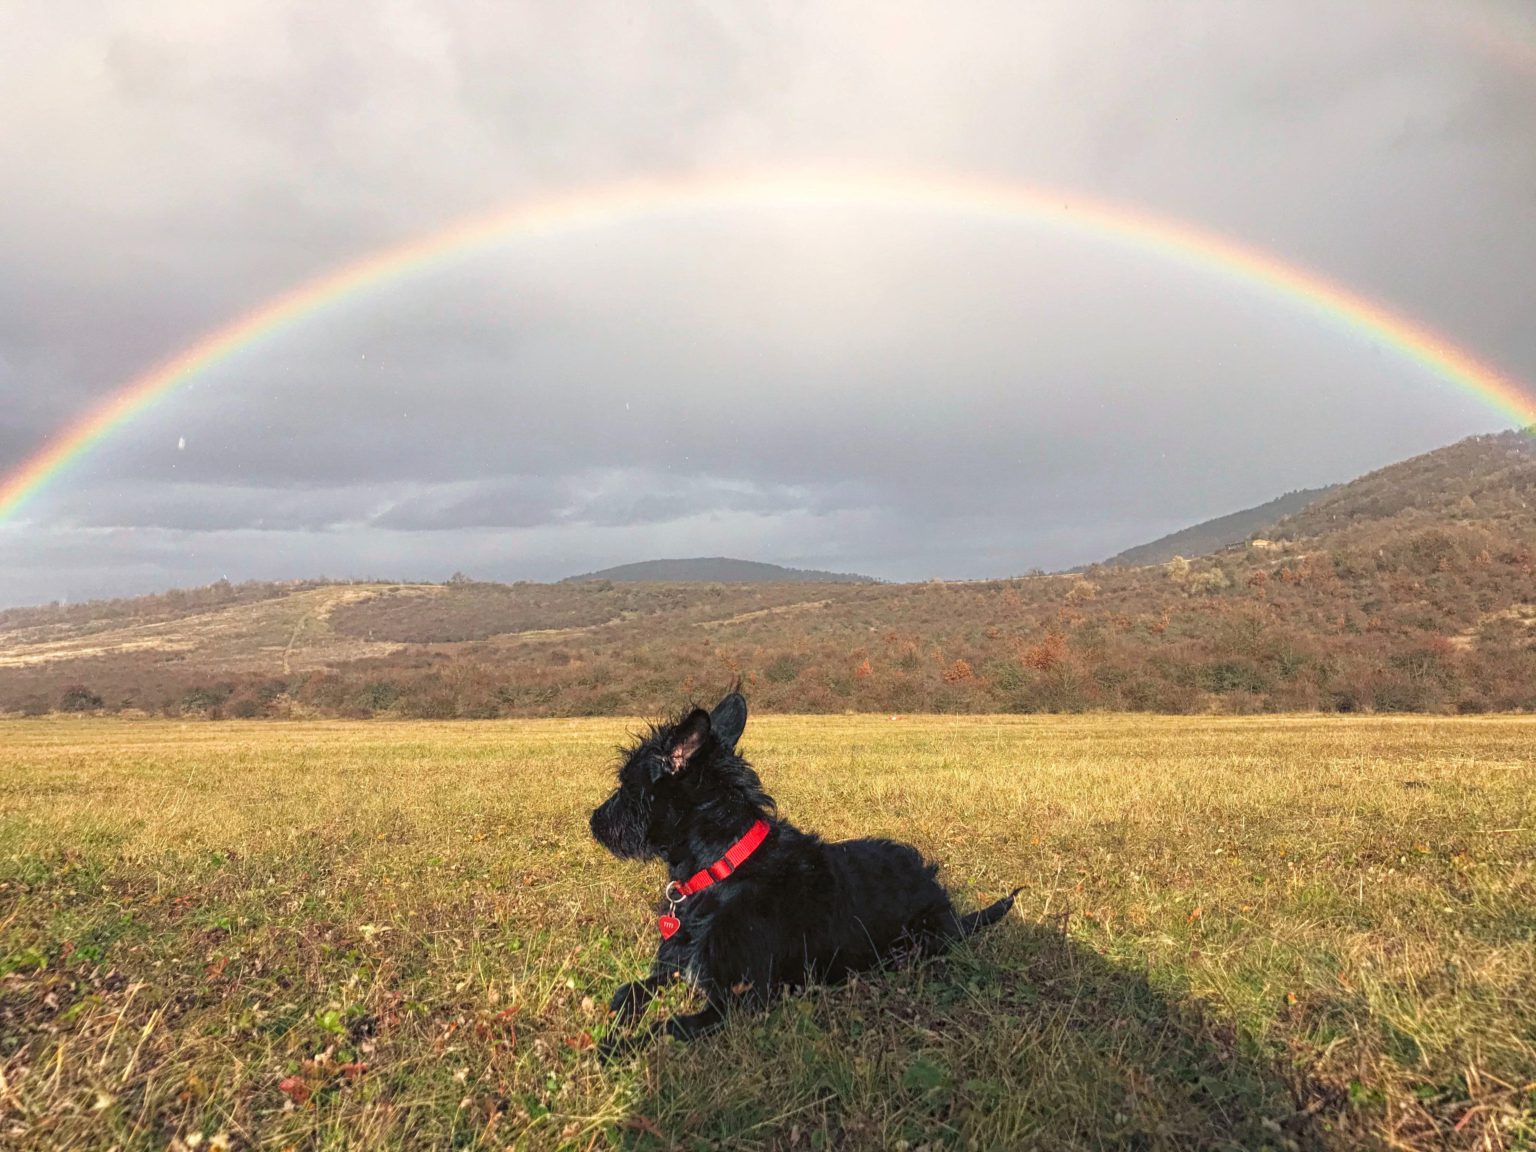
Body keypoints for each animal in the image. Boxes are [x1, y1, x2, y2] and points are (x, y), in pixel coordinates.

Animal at [589, 691, 1019, 1062]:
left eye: (626, 784)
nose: (593, 822)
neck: (722, 867)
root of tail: (948, 905)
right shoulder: (677, 964)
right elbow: (627, 991)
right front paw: (612, 1026)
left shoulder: (740, 998)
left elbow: (668, 1026)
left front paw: (616, 1048)